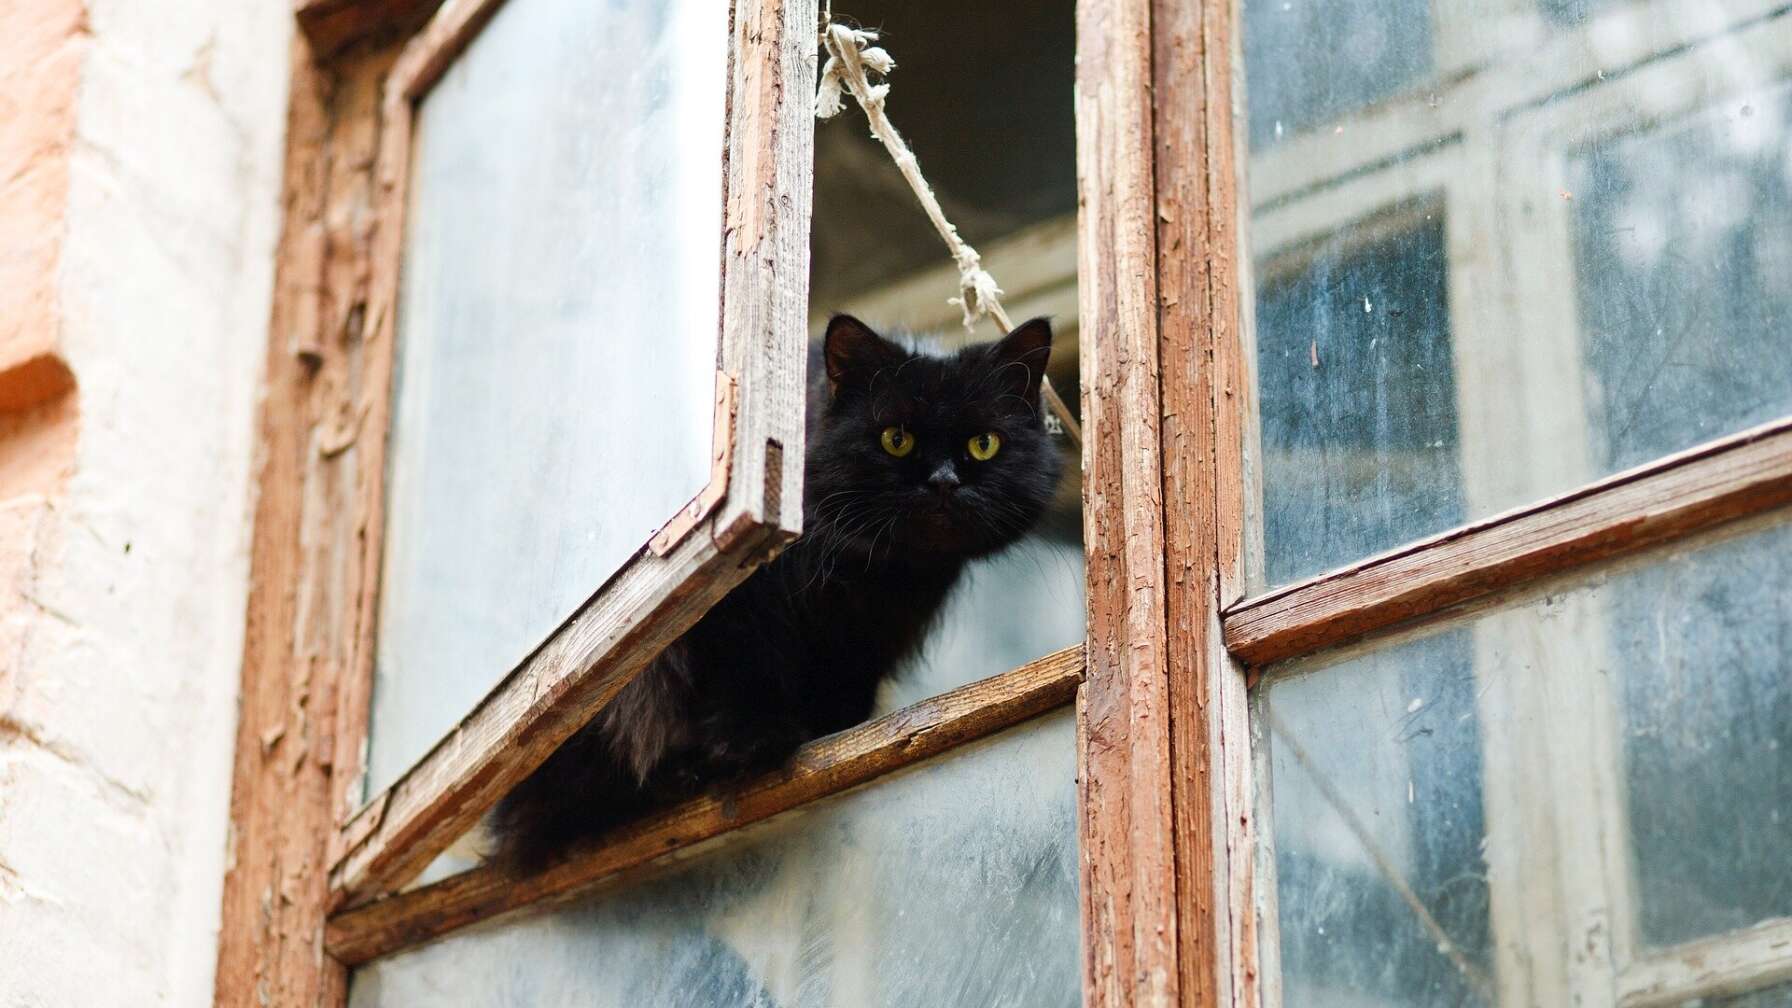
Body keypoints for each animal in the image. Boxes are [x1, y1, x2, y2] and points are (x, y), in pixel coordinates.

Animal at [491, 312, 1053, 864]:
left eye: (984, 444)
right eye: (896, 439)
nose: (942, 481)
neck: (874, 574)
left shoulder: (868, 640)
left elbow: (847, 684)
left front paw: (829, 729)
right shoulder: (742, 606)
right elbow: (747, 669)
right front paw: (755, 741)